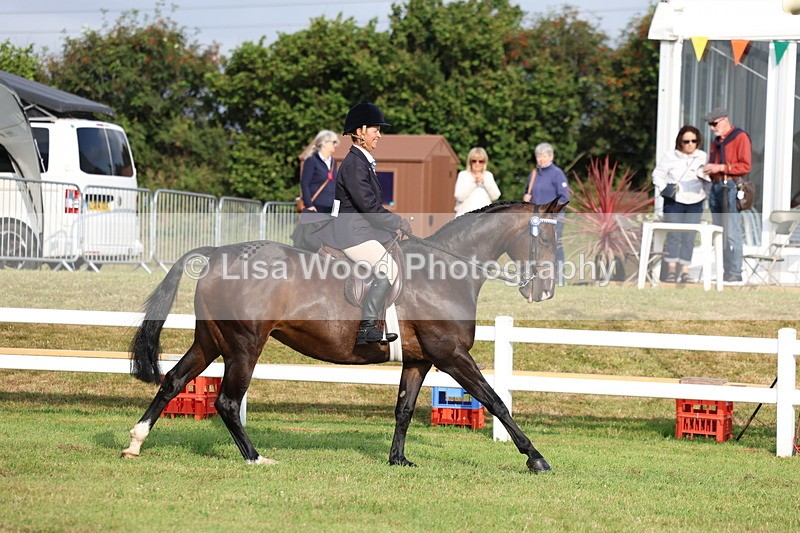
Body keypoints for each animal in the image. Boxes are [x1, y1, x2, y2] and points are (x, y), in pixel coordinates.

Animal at [122, 200, 565, 473]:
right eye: (545, 239)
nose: (545, 291)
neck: (442, 272)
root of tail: (217, 254)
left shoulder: (420, 359)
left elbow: (404, 409)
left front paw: (398, 460)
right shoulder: (452, 355)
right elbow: (496, 401)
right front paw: (536, 458)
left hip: (211, 341)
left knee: (173, 380)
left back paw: (135, 442)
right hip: (244, 347)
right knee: (227, 402)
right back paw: (256, 458)